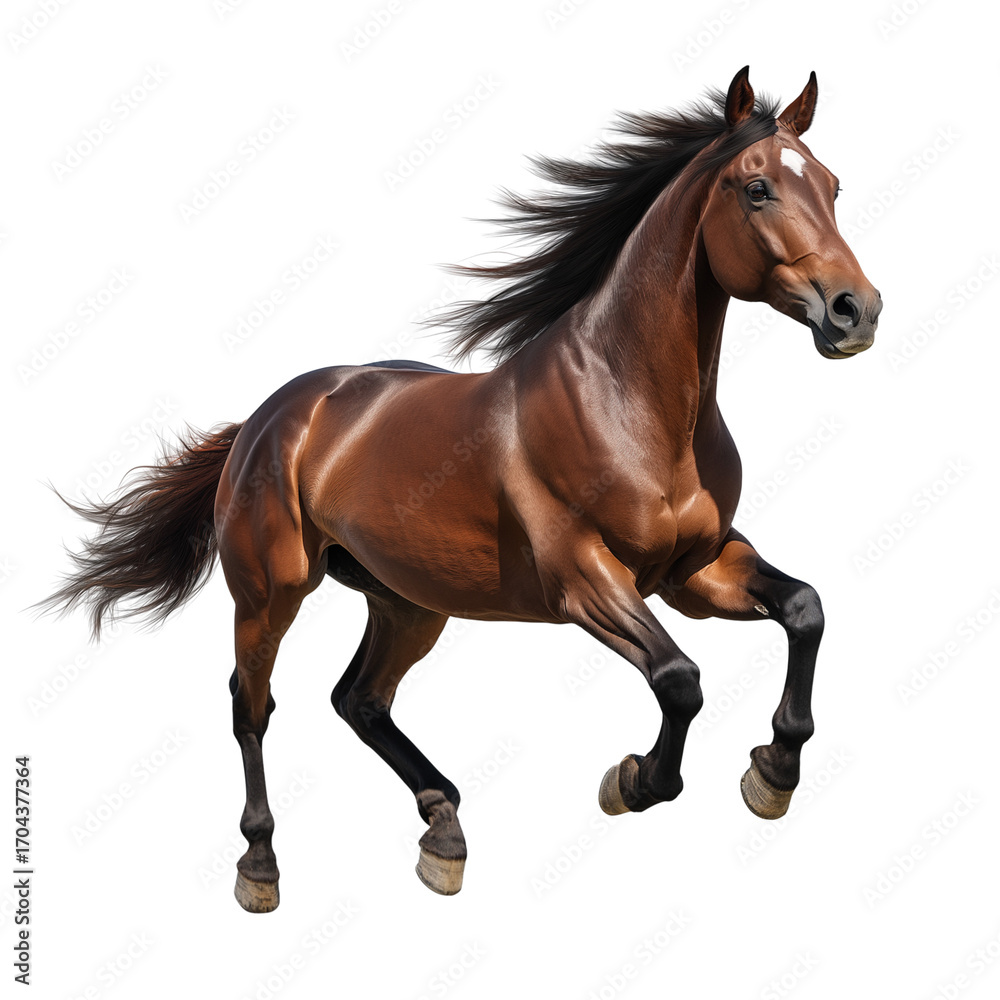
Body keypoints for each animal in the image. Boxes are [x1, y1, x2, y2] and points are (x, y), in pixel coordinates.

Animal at [41, 67, 881, 912]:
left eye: (834, 186)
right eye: (757, 188)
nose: (856, 311)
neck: (629, 403)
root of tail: (270, 415)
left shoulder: (694, 570)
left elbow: (804, 610)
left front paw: (772, 770)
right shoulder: (583, 577)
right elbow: (679, 680)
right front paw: (634, 781)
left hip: (409, 600)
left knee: (360, 699)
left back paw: (443, 832)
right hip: (270, 591)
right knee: (252, 706)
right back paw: (261, 865)